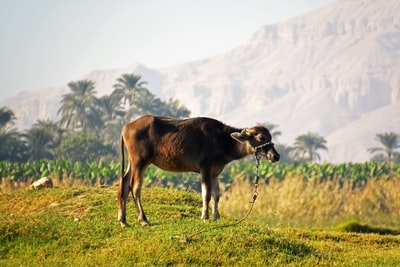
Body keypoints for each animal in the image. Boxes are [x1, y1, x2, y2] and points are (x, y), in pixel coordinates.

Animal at [117, 116, 280, 227]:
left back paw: (123, 220)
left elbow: (216, 195)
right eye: (261, 137)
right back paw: (143, 219)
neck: (221, 140)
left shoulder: (215, 172)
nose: (276, 156)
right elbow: (206, 194)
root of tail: (126, 126)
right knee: (135, 187)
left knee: (124, 184)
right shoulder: (205, 169)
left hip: (132, 162)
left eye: (270, 137)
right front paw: (205, 217)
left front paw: (216, 216)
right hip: (140, 161)